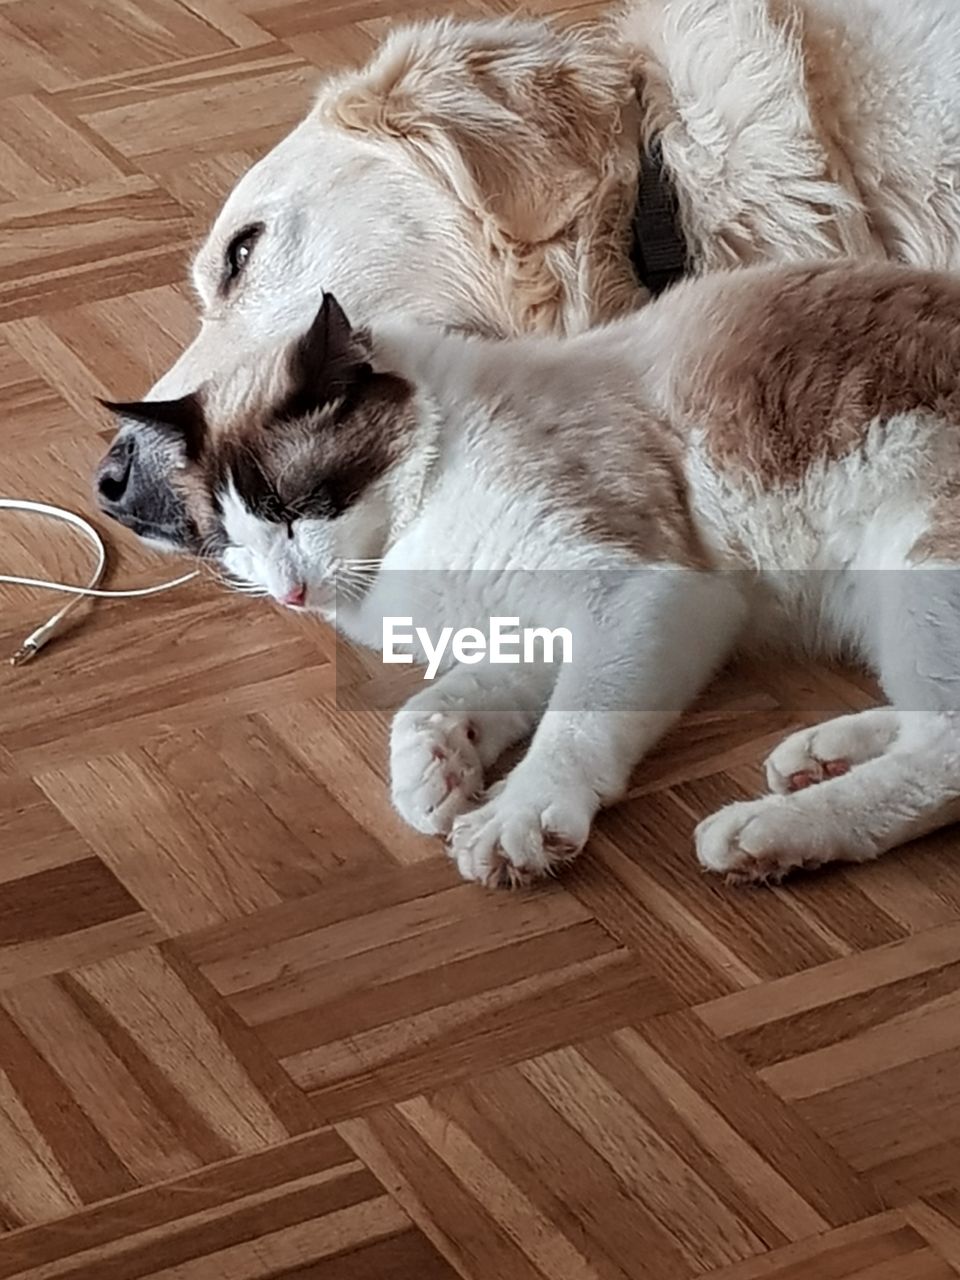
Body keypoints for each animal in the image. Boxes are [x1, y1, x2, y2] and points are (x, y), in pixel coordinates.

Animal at [96, 262, 960, 890]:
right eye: (232, 541)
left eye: (292, 506)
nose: (289, 593)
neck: (408, 539)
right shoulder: (530, 629)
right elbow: (434, 708)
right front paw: (438, 776)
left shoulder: (639, 599)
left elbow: (571, 727)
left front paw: (514, 819)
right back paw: (821, 756)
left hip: (916, 570)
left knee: (945, 754)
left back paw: (764, 836)